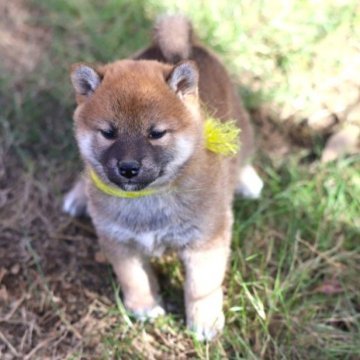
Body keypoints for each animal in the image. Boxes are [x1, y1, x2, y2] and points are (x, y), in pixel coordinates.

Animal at [63, 14, 262, 340]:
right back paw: (79, 195)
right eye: (108, 132)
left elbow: (201, 288)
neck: (149, 199)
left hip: (241, 128)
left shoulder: (205, 241)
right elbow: (135, 280)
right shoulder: (120, 242)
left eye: (155, 133)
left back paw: (247, 179)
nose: (128, 167)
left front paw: (204, 322)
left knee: (242, 152)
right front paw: (144, 306)